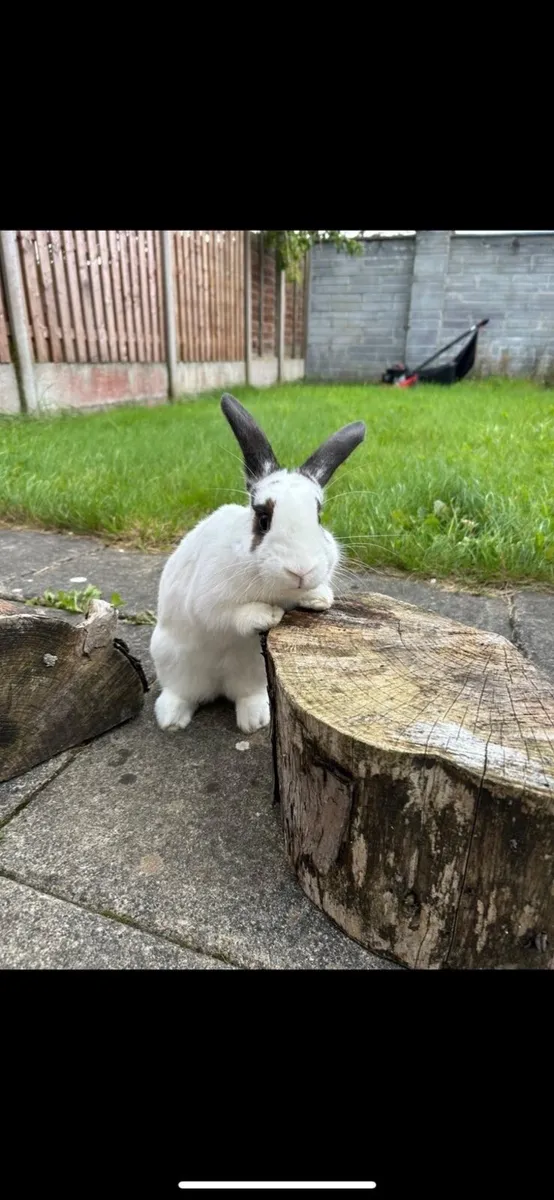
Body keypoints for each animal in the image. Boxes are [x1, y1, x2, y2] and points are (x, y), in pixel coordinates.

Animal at [150, 393, 365, 735]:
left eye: (319, 518)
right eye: (263, 519)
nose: (301, 570)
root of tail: (218, 686)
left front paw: (319, 597)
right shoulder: (207, 599)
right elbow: (225, 614)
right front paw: (267, 615)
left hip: (253, 673)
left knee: (246, 694)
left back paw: (255, 721)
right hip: (171, 658)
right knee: (180, 692)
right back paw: (172, 719)